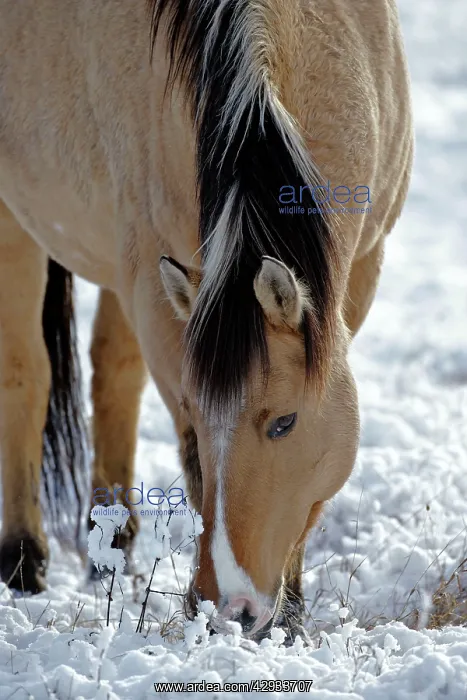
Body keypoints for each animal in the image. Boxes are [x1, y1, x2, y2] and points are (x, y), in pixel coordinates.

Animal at [0, 0, 413, 639]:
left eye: (285, 423)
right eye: (196, 414)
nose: (232, 606)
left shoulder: (362, 267)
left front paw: (290, 611)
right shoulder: (154, 290)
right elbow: (195, 464)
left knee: (111, 371)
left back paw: (111, 541)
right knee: (28, 371)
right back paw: (24, 560)